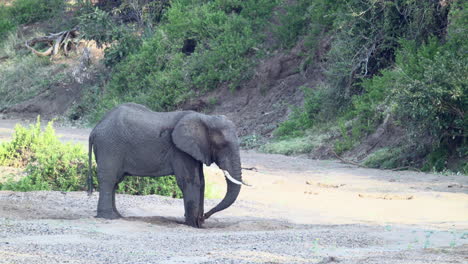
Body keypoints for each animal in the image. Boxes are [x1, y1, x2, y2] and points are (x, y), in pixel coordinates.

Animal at [88, 102, 249, 227]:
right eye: (222, 145)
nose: (204, 217)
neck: (205, 118)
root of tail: (95, 128)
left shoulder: (194, 149)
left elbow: (201, 182)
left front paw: (197, 224)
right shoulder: (179, 150)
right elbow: (191, 181)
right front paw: (192, 225)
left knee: (115, 181)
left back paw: (117, 216)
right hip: (109, 147)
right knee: (109, 179)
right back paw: (109, 217)